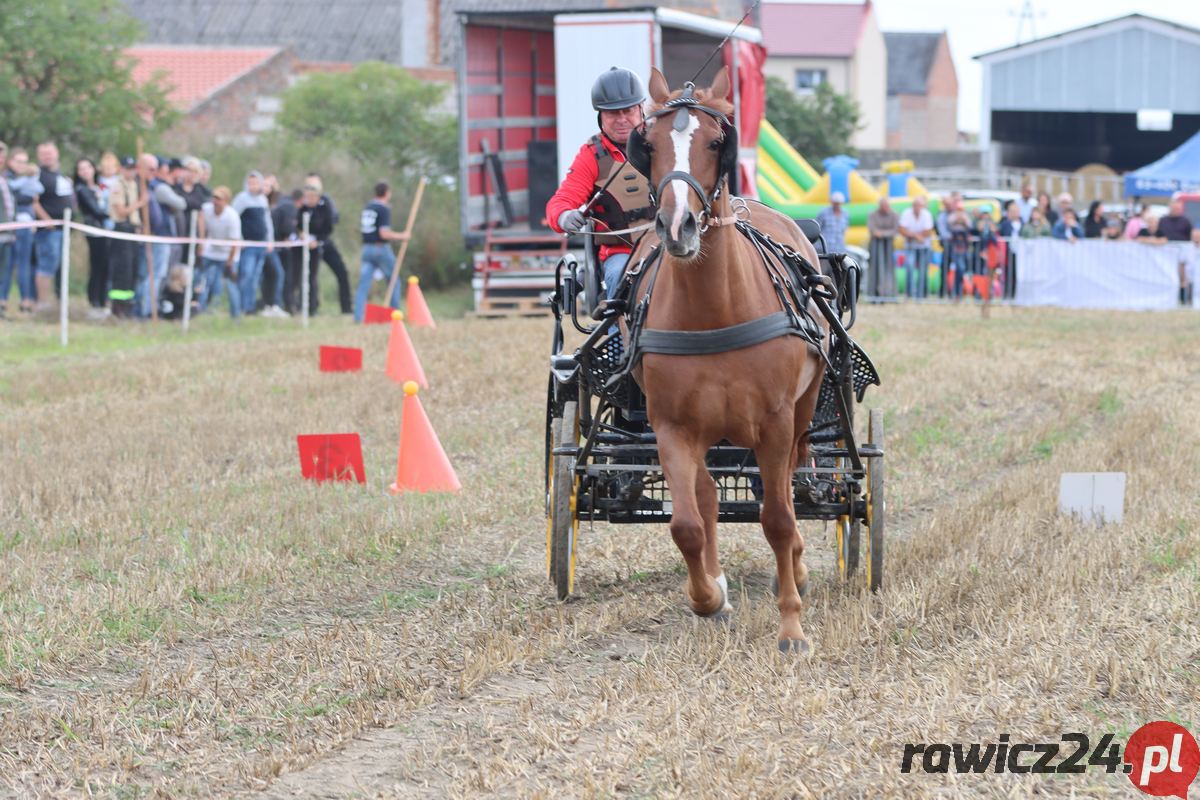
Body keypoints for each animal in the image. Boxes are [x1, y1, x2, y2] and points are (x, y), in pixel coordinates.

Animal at [628, 68, 825, 652]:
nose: (679, 227)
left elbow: (777, 518)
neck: (712, 311)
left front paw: (791, 626)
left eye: (718, 142)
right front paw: (708, 596)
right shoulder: (671, 426)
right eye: (648, 144)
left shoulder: (775, 421)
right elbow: (686, 524)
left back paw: (796, 569)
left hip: (802, 410)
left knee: (787, 488)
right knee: (707, 496)